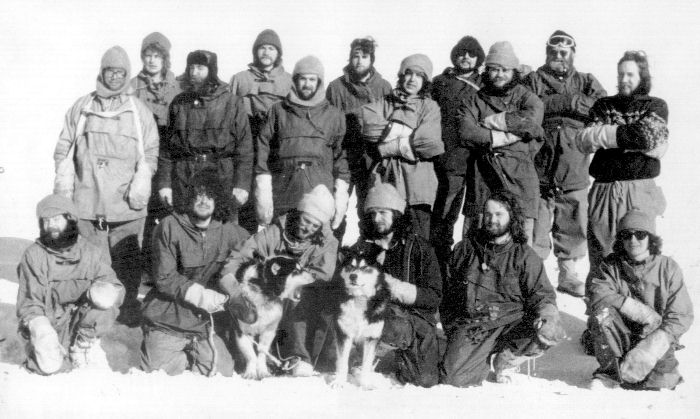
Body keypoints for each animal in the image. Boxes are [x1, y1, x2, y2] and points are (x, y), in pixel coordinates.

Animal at [234, 254, 314, 382]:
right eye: (296, 271)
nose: (314, 275)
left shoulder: (269, 330)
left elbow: (262, 352)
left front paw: (262, 371)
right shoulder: (242, 331)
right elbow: (250, 355)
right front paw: (251, 372)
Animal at [330, 246, 392, 390]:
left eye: (365, 267)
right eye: (350, 266)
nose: (353, 276)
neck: (359, 299)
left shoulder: (372, 337)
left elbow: (366, 364)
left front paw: (365, 384)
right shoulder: (344, 334)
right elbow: (342, 362)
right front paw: (339, 382)